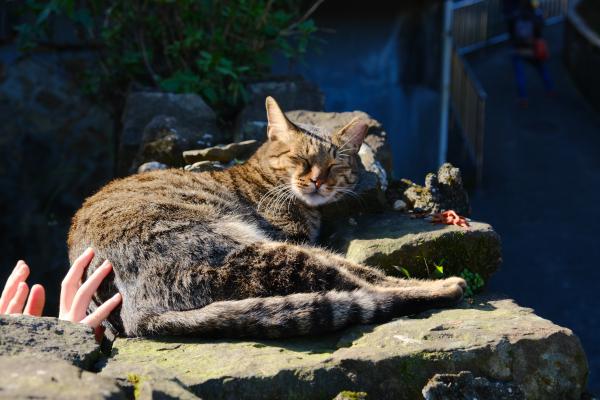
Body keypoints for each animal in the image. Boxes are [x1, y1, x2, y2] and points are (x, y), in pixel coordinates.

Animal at [68, 97, 466, 338]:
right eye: (300, 159)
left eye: (335, 165)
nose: (317, 180)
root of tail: (137, 314)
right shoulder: (293, 238)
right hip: (259, 252)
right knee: (366, 285)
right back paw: (444, 286)